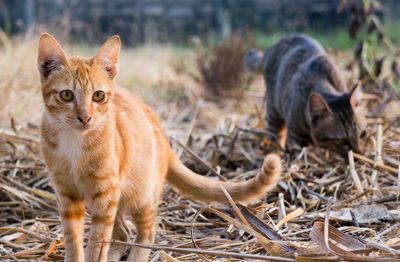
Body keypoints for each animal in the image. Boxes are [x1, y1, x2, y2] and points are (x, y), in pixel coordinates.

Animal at [38, 33, 282, 260]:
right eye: (66, 95)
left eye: (98, 96)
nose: (85, 117)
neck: (73, 143)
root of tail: (164, 138)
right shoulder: (67, 195)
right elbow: (74, 240)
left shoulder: (105, 193)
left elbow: (97, 241)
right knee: (123, 232)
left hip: (141, 195)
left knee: (146, 232)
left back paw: (136, 256)